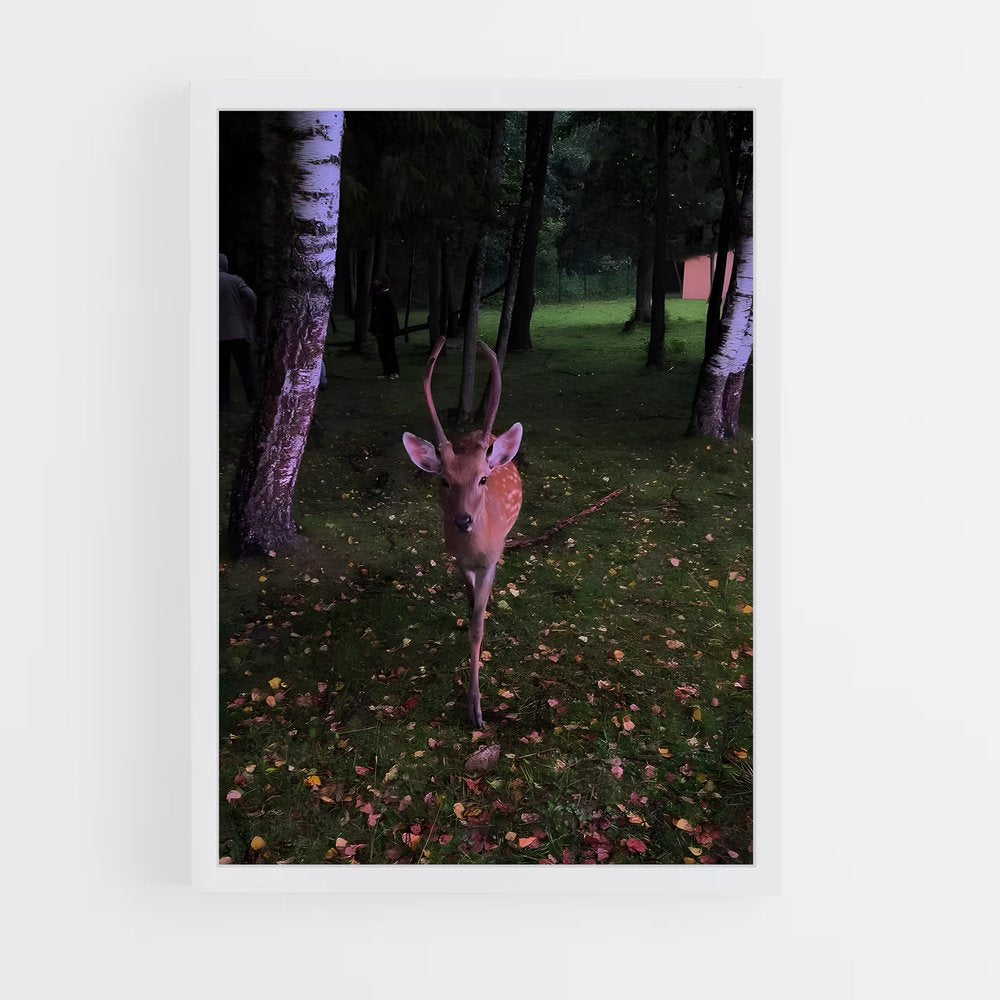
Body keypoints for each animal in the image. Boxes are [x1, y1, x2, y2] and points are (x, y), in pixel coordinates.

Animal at [402, 337, 523, 729]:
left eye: (483, 479)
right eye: (443, 480)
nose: (462, 521)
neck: (475, 548)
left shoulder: (490, 559)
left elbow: (478, 630)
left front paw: (476, 711)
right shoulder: (457, 558)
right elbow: (469, 598)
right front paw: (471, 606)